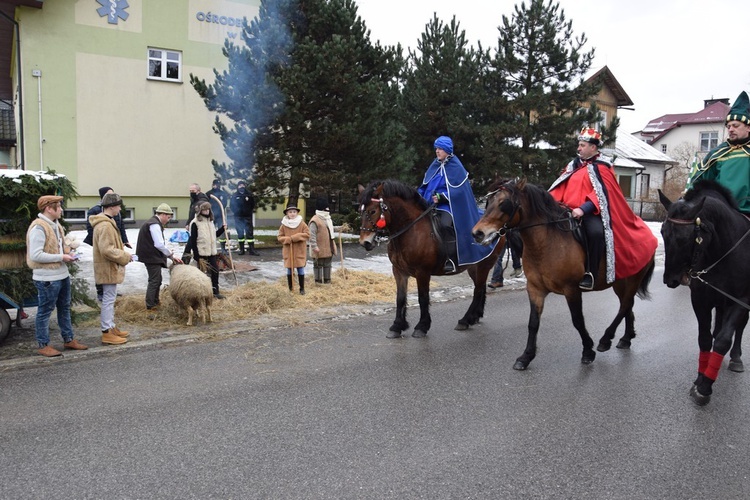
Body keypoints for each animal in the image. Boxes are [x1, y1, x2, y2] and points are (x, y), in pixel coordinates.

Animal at [360, 180, 502, 340]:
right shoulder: (399, 271)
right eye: (360, 210)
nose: (365, 242)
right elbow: (400, 298)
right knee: (481, 288)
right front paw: (397, 326)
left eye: (373, 211)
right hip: (473, 267)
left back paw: (465, 320)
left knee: (478, 290)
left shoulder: (422, 272)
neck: (411, 231)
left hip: (483, 265)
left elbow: (423, 298)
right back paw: (475, 316)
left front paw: (422, 326)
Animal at [472, 179, 656, 368]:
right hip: (619, 282)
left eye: (504, 203)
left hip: (634, 279)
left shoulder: (571, 289)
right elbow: (533, 323)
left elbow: (578, 320)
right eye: (488, 201)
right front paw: (526, 356)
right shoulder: (535, 289)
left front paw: (587, 351)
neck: (546, 243)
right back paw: (626, 338)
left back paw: (606, 339)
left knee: (625, 305)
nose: (478, 233)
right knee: (628, 305)